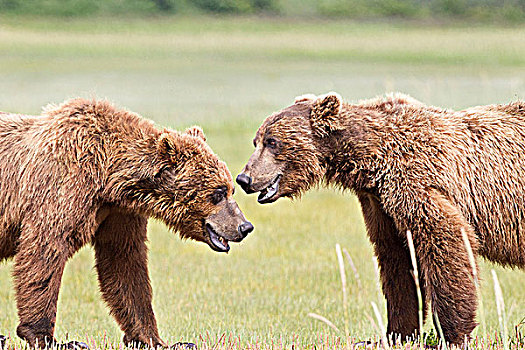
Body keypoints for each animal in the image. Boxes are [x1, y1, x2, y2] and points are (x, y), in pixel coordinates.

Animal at [0, 98, 254, 348]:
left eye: (231, 189)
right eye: (218, 193)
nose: (244, 226)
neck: (108, 178)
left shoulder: (119, 213)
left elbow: (124, 264)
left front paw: (157, 339)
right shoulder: (61, 185)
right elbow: (45, 250)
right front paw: (49, 336)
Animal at [236, 93, 524, 348]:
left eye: (272, 141)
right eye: (255, 140)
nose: (244, 178)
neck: (373, 159)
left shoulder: (418, 182)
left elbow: (447, 244)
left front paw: (451, 335)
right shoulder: (380, 205)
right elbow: (397, 262)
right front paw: (393, 335)